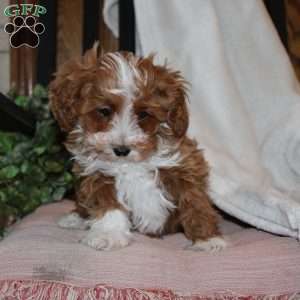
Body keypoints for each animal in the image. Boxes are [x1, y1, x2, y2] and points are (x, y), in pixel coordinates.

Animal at [49, 44, 226, 251]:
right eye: (104, 111)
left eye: (143, 114)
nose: (121, 150)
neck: (130, 163)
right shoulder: (97, 174)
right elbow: (108, 205)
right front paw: (109, 234)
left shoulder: (185, 166)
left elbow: (194, 201)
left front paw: (207, 239)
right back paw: (76, 217)